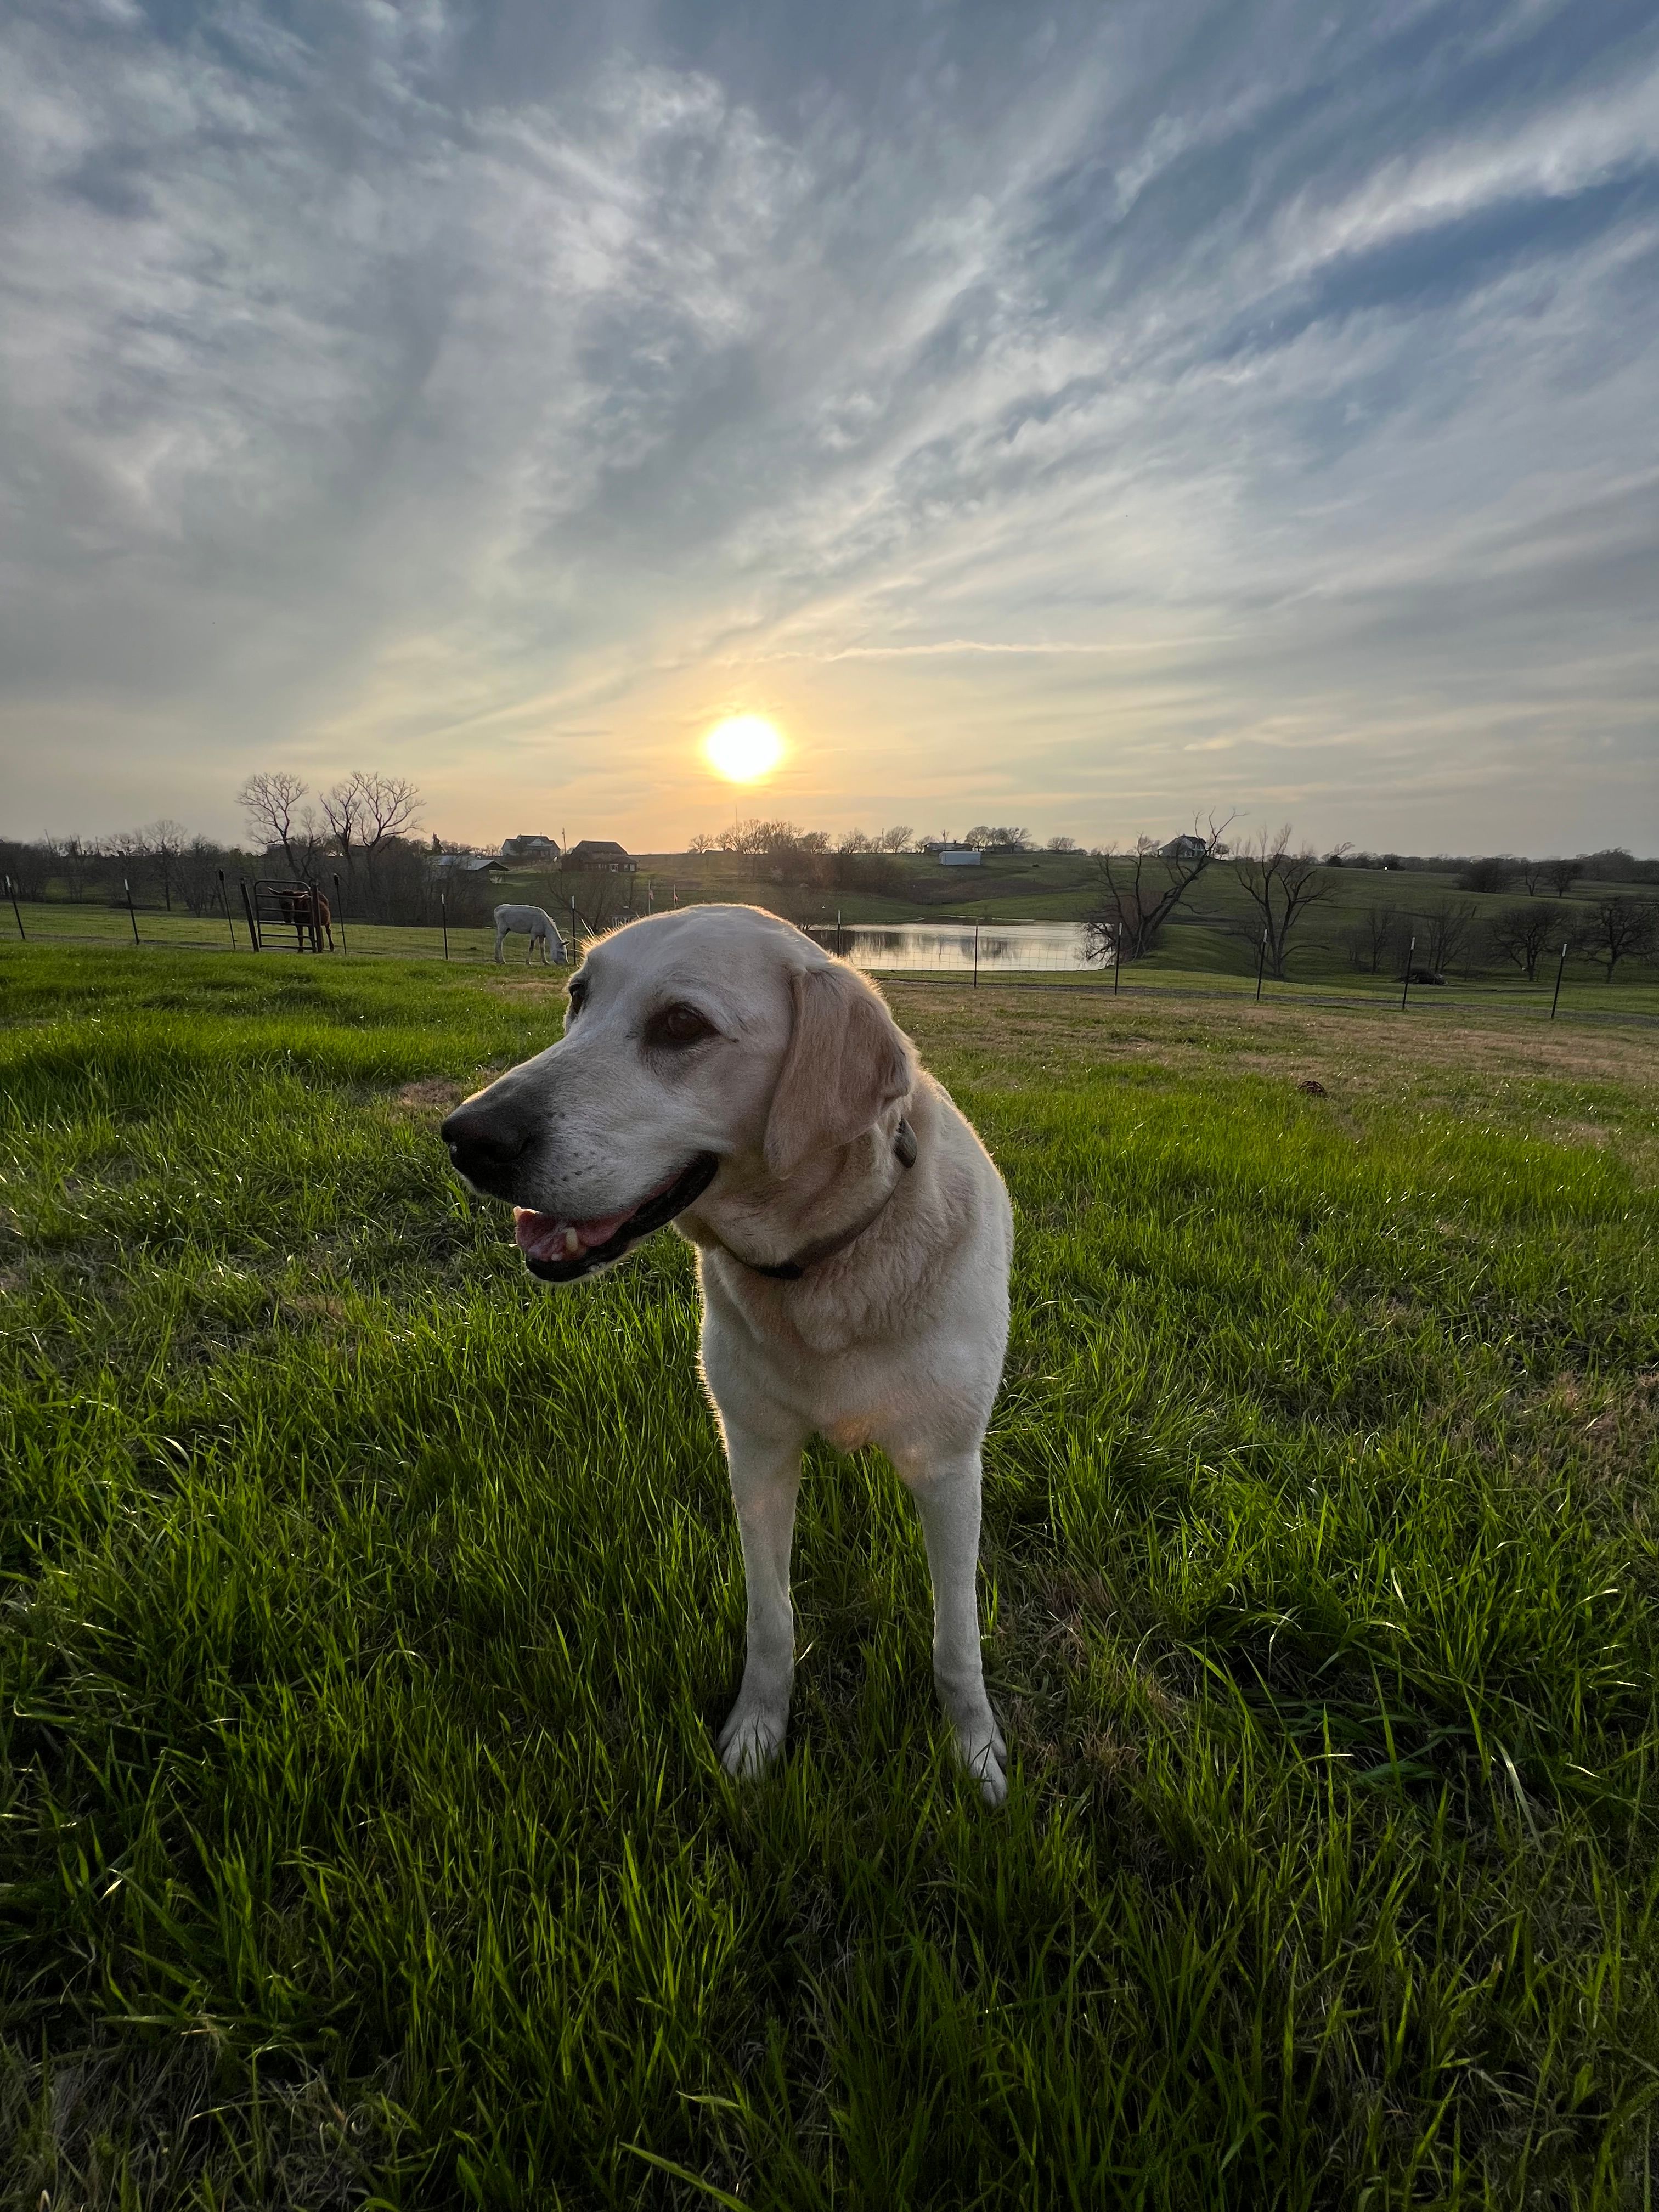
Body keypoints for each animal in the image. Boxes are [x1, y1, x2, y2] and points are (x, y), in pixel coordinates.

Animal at [442, 898, 1013, 1796]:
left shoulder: (949, 1466)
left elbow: (956, 1637)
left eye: (683, 1025)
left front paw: (976, 1753)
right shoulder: (755, 1451)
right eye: (577, 996)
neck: (821, 1273)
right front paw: (756, 1734)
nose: (468, 1137)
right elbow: (770, 1618)